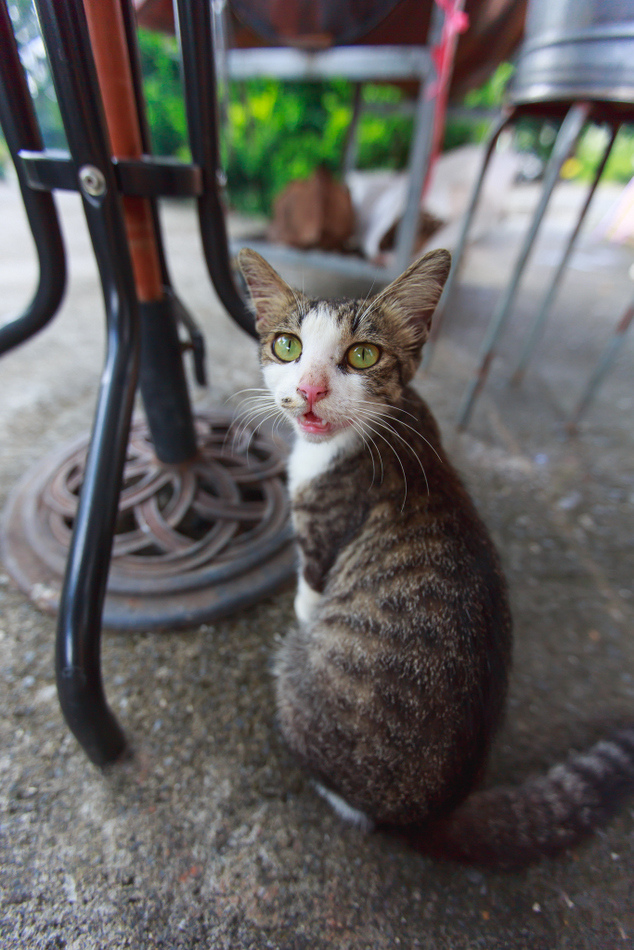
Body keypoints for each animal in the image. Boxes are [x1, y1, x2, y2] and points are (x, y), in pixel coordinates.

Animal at [236, 245, 632, 872]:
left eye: (363, 354)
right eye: (287, 346)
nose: (311, 391)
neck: (390, 419)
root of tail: (434, 809)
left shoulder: (324, 534)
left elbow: (309, 589)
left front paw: (301, 604)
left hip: (302, 679)